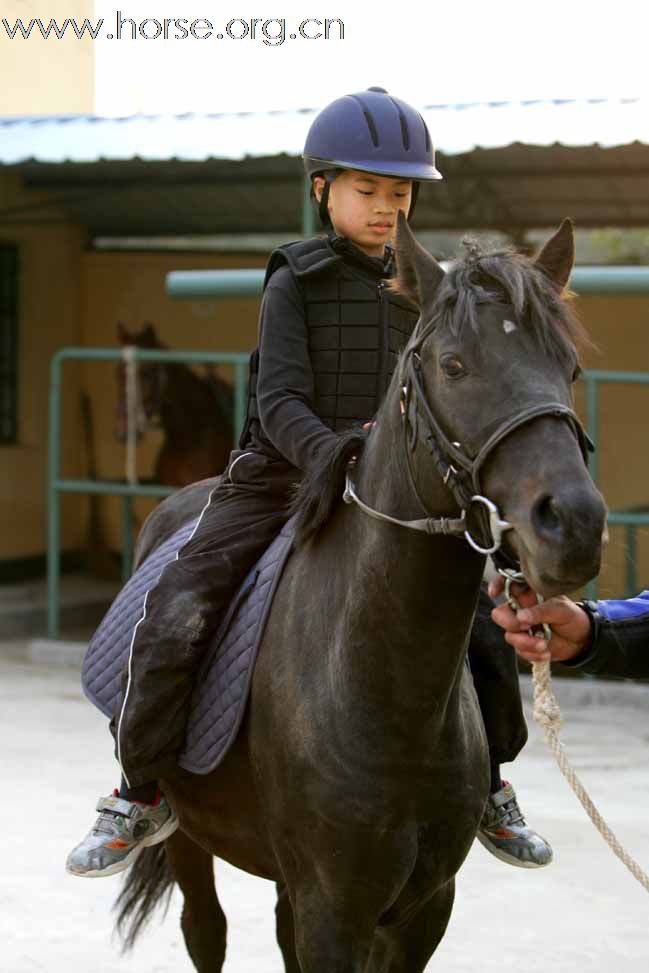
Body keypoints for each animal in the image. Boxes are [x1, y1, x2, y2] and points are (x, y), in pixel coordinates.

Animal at [114, 216, 604, 968]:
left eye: (568, 369)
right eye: (453, 366)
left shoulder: (420, 908)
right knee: (205, 929)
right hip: (192, 836)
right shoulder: (332, 907)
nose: (573, 523)